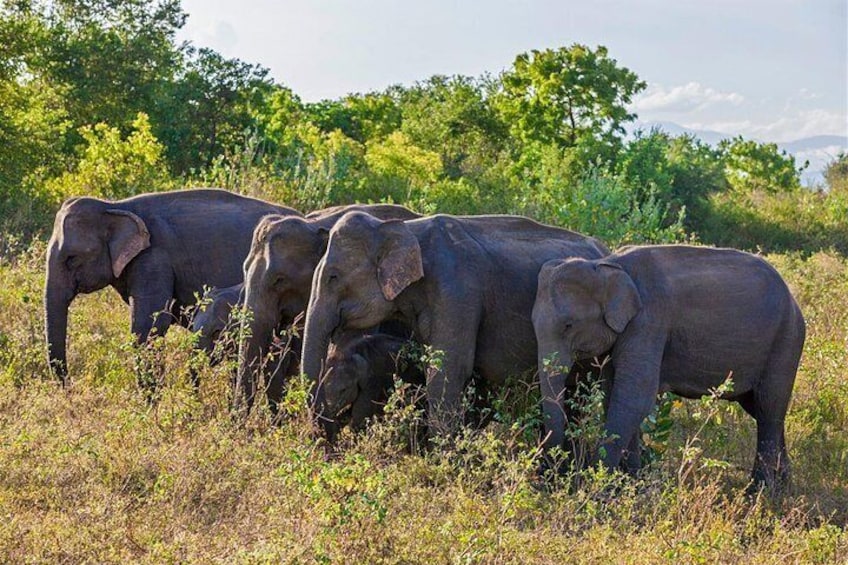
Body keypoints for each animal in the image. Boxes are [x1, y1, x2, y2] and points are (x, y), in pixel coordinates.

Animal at [532, 245, 804, 486]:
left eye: (568, 325)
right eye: (532, 322)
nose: (551, 478)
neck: (608, 264)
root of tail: (793, 300)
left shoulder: (649, 322)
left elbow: (634, 398)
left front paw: (597, 486)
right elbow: (615, 396)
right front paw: (631, 483)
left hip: (786, 341)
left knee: (769, 407)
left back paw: (759, 492)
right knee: (761, 409)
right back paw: (783, 487)